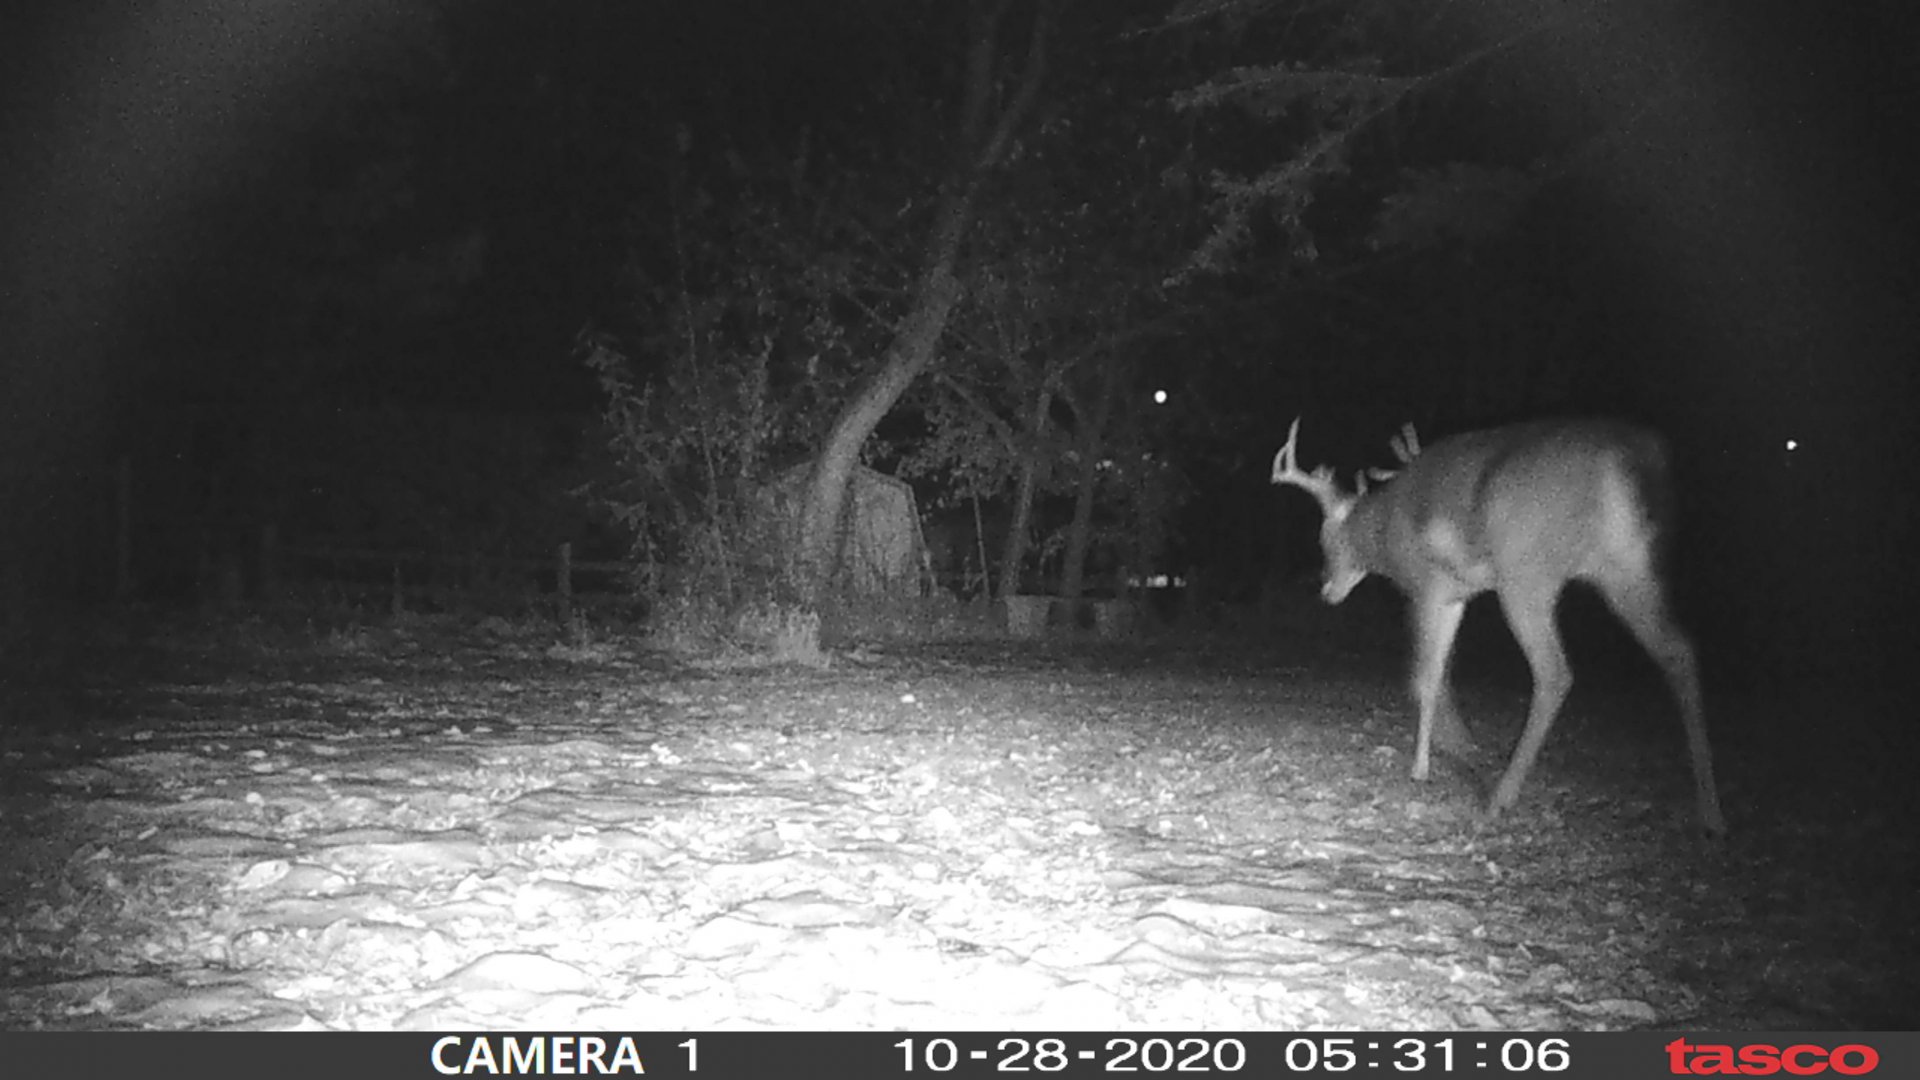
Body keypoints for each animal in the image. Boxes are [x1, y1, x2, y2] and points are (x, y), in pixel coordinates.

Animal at [1270, 417, 1725, 835]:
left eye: (1325, 539)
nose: (1327, 590)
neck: (1385, 525)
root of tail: (1632, 459)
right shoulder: (1457, 595)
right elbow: (1439, 672)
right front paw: (1457, 746)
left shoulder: (1428, 585)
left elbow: (1424, 676)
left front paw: (1423, 765)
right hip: (1628, 567)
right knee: (1680, 651)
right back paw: (1711, 812)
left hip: (1528, 575)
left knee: (1555, 672)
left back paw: (1499, 798)